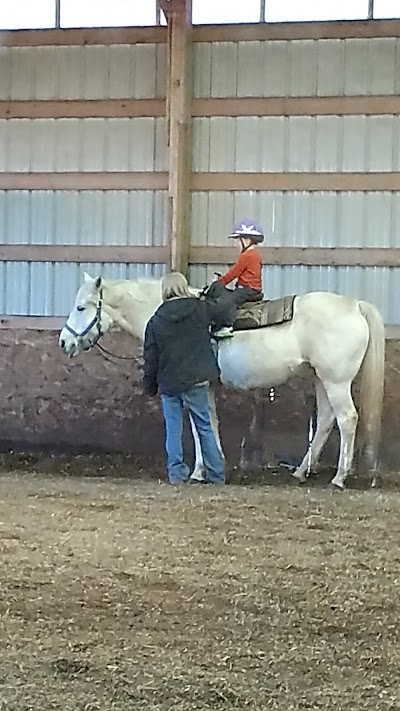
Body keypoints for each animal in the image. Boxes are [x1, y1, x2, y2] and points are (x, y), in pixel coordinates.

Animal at [58, 272, 384, 490]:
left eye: (81, 307)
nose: (64, 342)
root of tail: (355, 305)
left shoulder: (195, 387)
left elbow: (197, 426)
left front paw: (198, 472)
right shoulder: (207, 387)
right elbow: (210, 424)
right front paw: (214, 467)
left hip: (336, 381)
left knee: (347, 419)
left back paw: (339, 477)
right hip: (321, 378)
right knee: (327, 420)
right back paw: (302, 471)